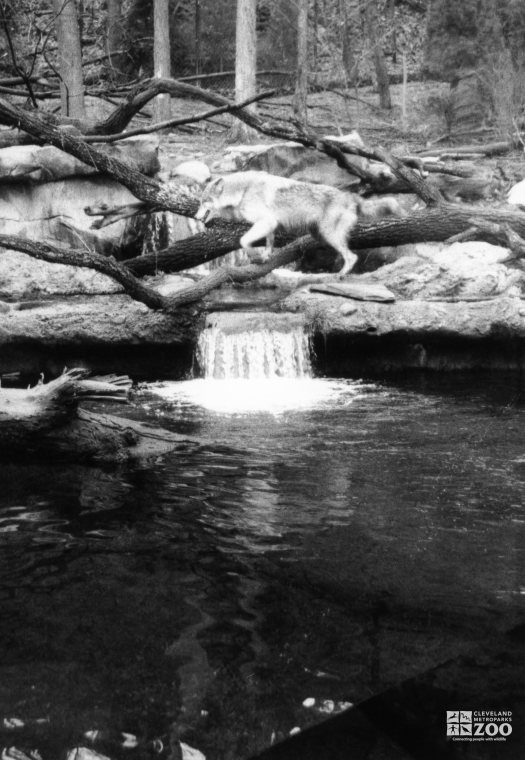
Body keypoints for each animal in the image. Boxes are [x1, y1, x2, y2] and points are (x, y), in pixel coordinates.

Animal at [194, 171, 400, 274]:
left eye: (204, 202)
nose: (196, 216)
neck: (242, 191)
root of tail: (350, 195)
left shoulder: (266, 221)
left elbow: (243, 241)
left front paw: (256, 257)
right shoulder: (271, 224)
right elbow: (268, 243)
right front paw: (265, 257)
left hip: (329, 235)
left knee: (352, 257)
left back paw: (339, 275)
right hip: (322, 237)